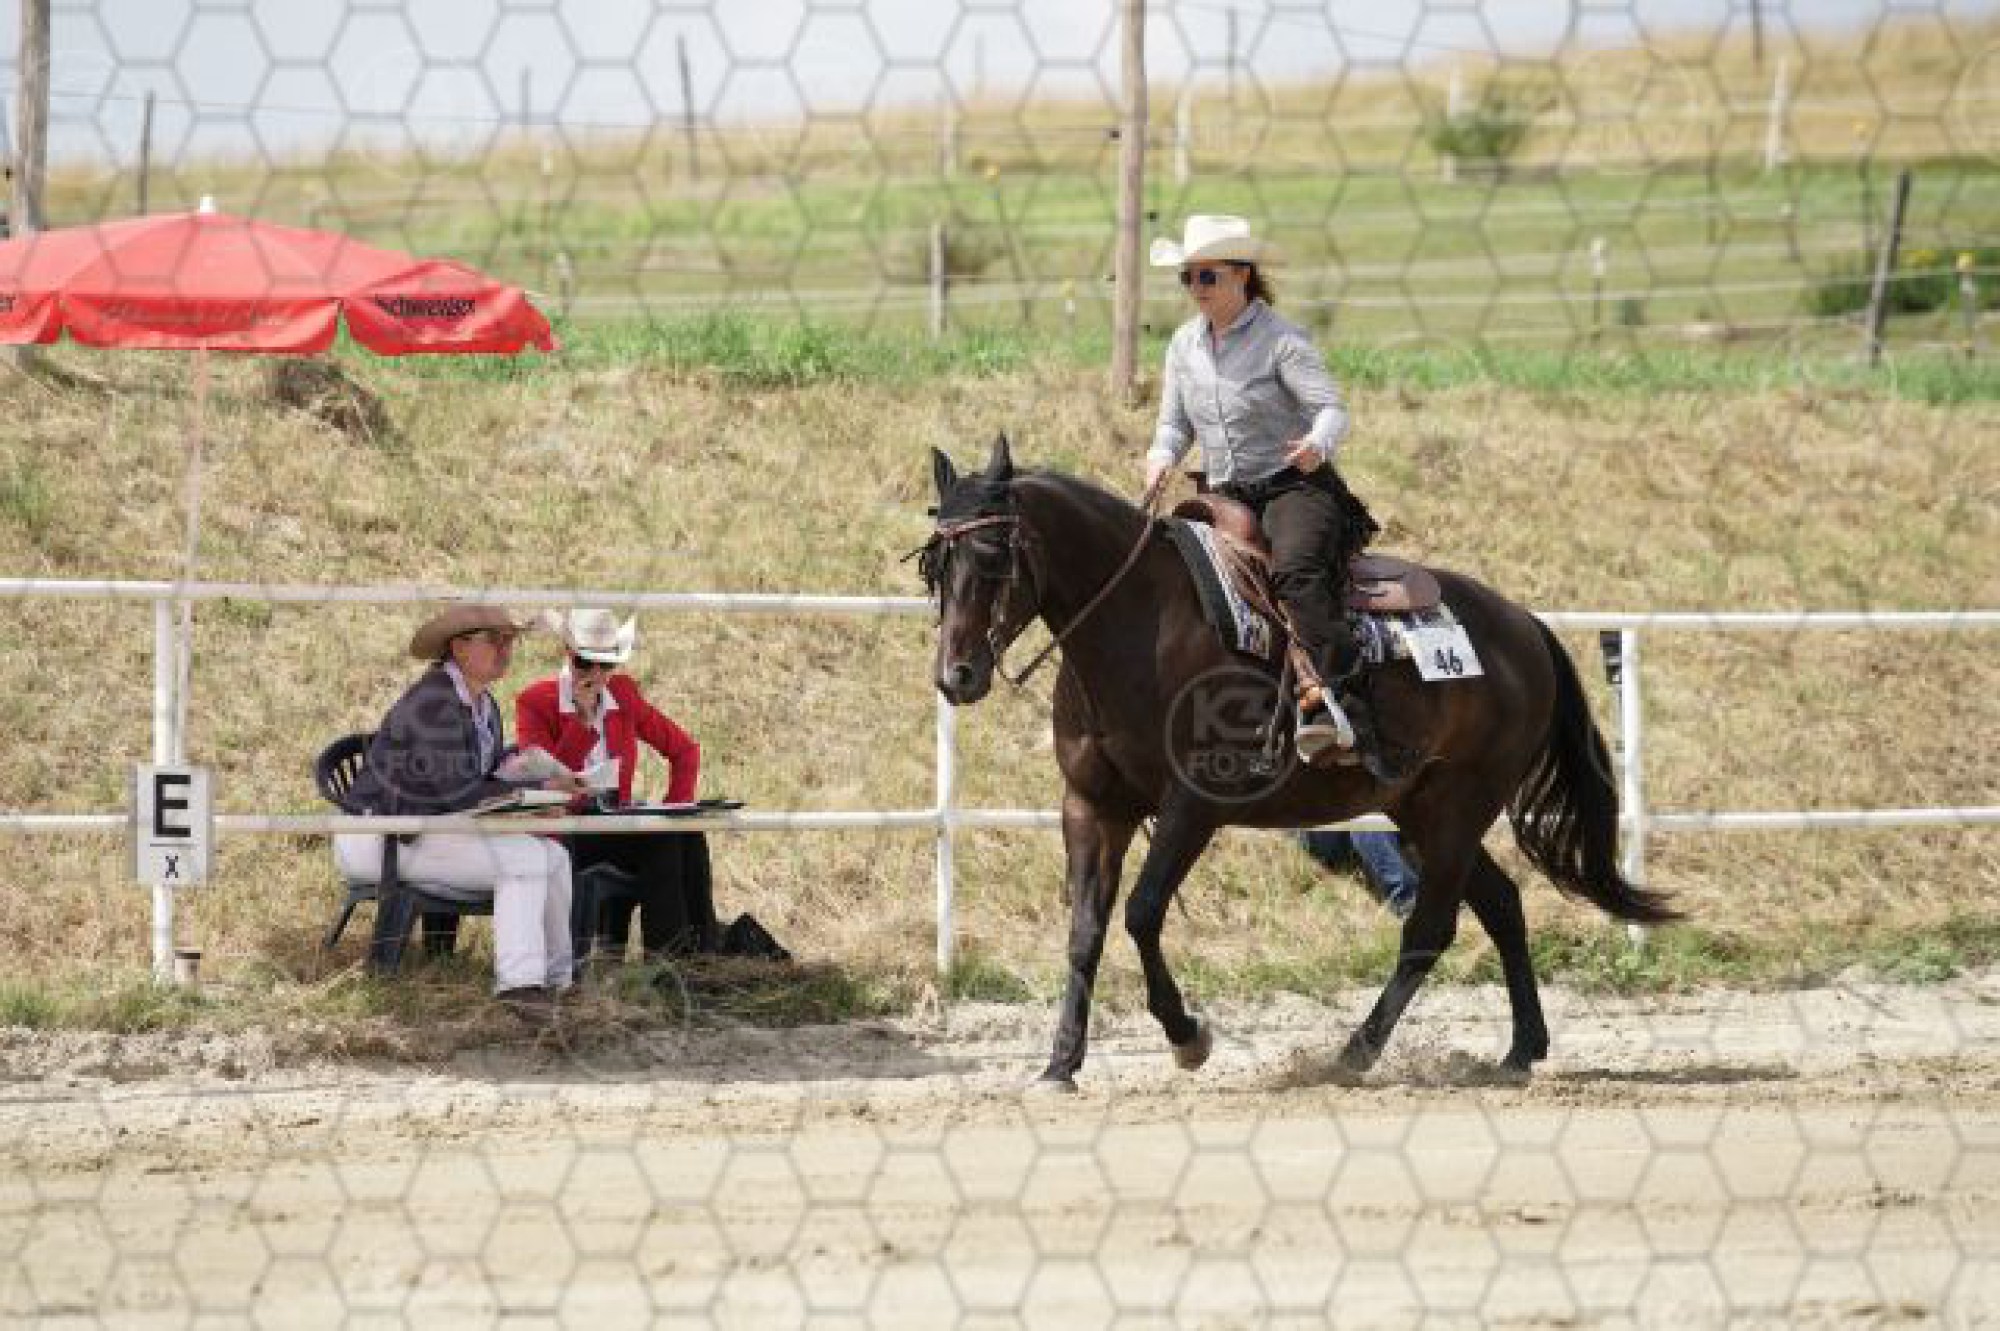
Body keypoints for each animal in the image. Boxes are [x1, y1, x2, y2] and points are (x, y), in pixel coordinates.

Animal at [918, 435, 1677, 1092]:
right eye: (934, 565)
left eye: (993, 553)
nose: (957, 675)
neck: (1137, 624)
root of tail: (1526, 626)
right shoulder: (1091, 805)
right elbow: (1085, 932)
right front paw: (1059, 1064)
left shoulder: (1194, 805)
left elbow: (1140, 912)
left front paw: (1188, 1038)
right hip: (1420, 808)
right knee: (1500, 905)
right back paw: (1521, 1049)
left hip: (1461, 805)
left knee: (1430, 929)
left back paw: (1355, 1053)